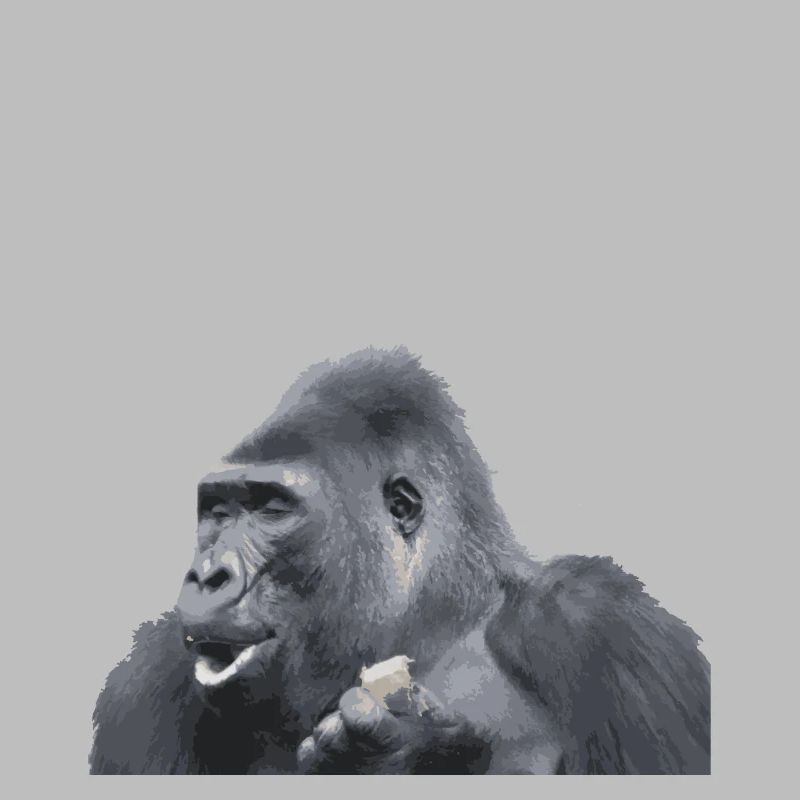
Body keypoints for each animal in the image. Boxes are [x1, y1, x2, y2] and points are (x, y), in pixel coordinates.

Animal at [90, 347, 710, 774]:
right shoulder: (144, 683)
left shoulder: (603, 626)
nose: (206, 575)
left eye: (271, 509)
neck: (434, 623)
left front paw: (415, 751)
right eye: (216, 510)